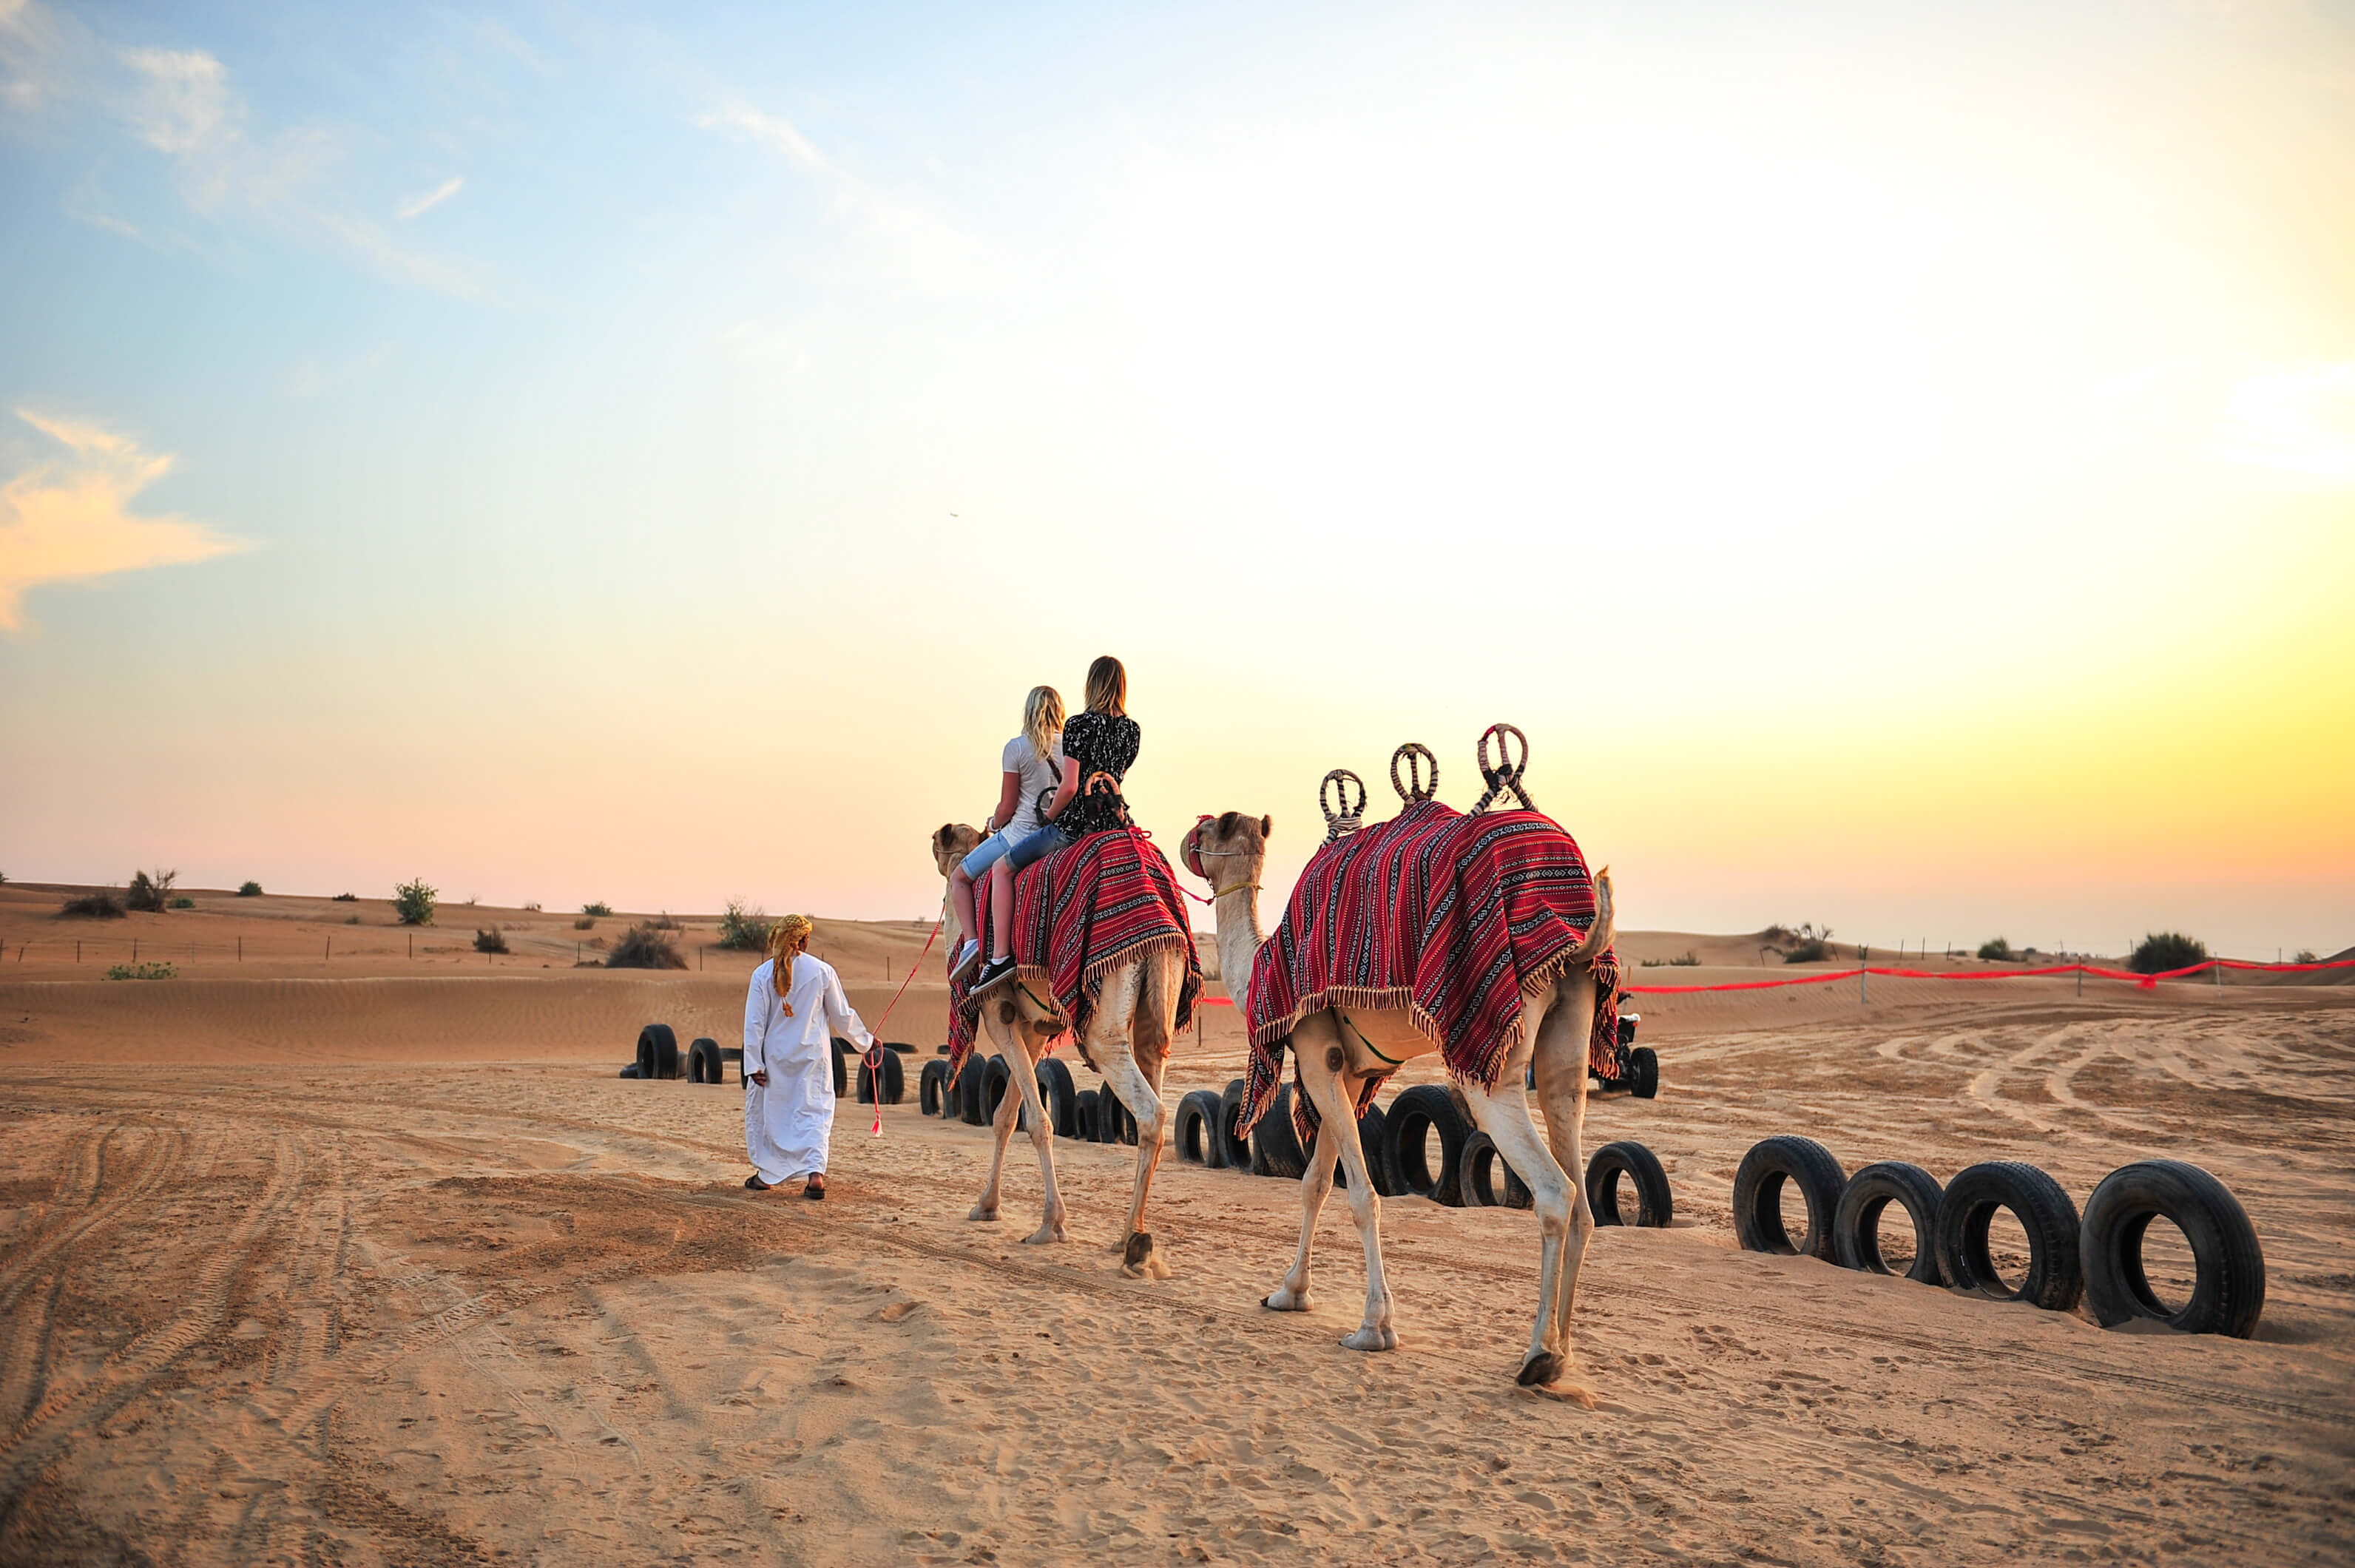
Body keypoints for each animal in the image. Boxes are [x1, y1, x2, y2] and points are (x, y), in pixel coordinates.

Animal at [928, 819, 1206, 1271]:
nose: (935, 844)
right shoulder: (1034, 1027)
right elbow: (1006, 1115)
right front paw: (987, 1205)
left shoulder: (998, 1014)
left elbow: (1037, 1120)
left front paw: (1050, 1224)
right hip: (1162, 991)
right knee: (1154, 1070)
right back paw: (1132, 1237)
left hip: (1103, 1019)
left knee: (1150, 1111)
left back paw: (1134, 1245)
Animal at [1186, 805, 1610, 1384]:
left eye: (1209, 828)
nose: (1186, 840)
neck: (1259, 967)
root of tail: (1578, 931)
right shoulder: (1347, 1073)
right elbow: (1316, 1183)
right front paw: (1289, 1293)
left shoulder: (1316, 1053)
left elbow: (1362, 1196)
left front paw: (1374, 1327)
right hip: (1567, 1031)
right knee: (1577, 1170)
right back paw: (1563, 1355)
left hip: (1496, 1051)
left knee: (1554, 1191)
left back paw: (1537, 1355)